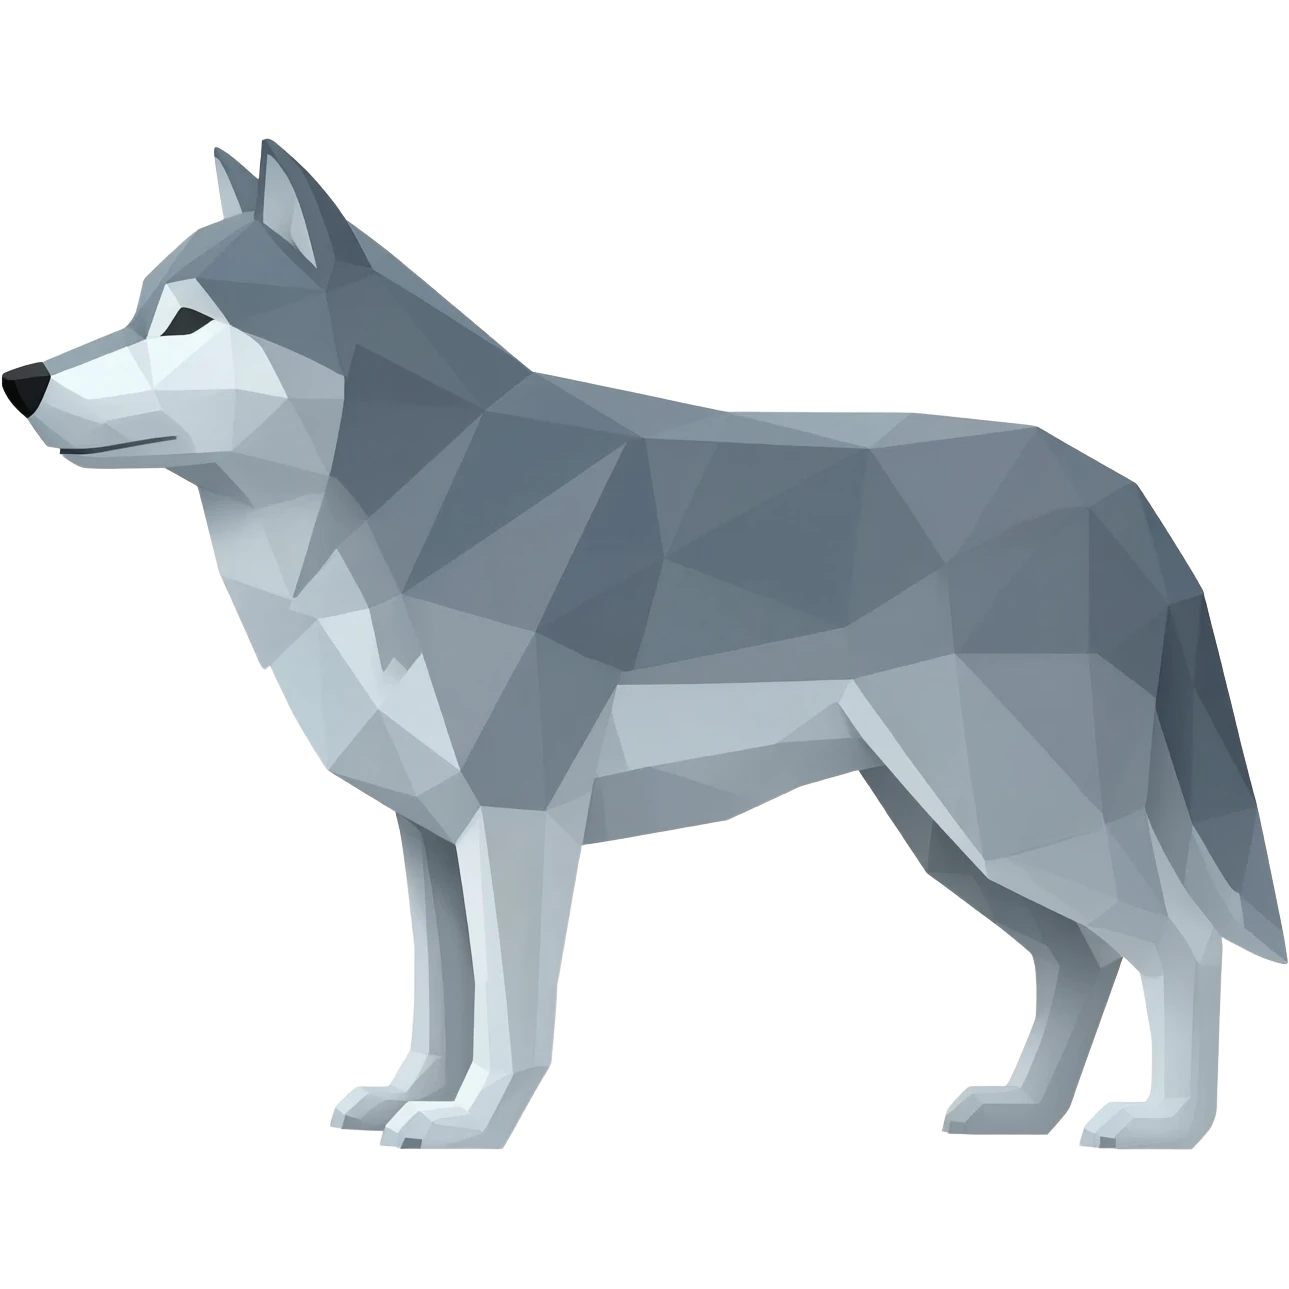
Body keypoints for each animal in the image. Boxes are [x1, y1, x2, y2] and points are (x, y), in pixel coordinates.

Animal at [5, 139, 1283, 1152]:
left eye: (189, 322)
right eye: (135, 310)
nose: (21, 378)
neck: (411, 486)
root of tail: (1122, 496)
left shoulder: (516, 818)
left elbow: (512, 1014)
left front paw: (472, 1121)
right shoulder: (428, 834)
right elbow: (440, 1000)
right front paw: (405, 1095)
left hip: (1011, 821)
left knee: (1177, 945)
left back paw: (1163, 1124)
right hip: (952, 829)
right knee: (1078, 959)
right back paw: (1020, 1107)